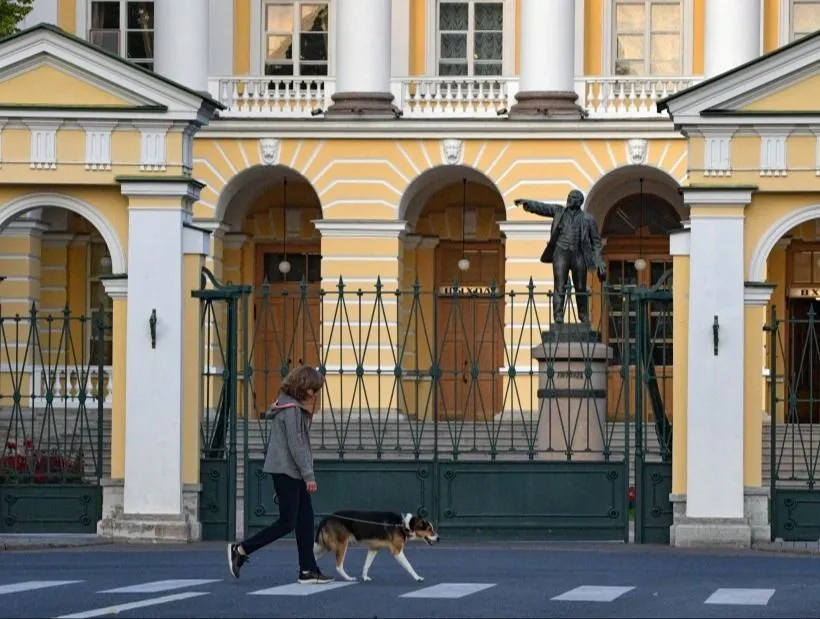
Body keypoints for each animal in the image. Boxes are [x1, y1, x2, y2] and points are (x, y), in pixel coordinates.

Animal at [314, 512, 442, 584]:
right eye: (430, 529)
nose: (439, 538)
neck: (404, 524)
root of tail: (326, 518)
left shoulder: (374, 549)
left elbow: (366, 565)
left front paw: (365, 577)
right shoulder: (397, 551)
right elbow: (409, 566)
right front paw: (418, 577)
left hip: (324, 548)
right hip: (341, 545)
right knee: (338, 566)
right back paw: (348, 578)